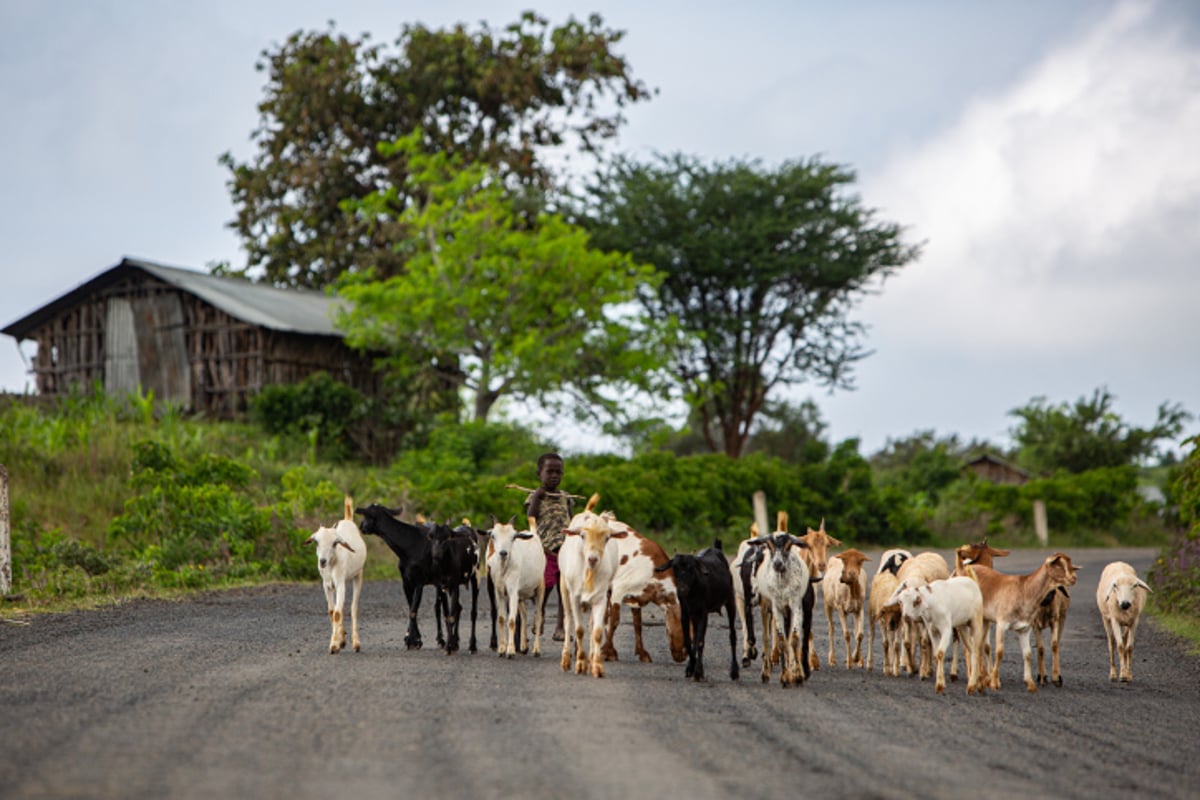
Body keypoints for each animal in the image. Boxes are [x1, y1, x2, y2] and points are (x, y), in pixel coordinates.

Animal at [304, 494, 364, 657]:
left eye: (335, 543)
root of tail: (348, 519)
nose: (322, 561)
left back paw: (356, 643)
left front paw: (334, 645)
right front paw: (339, 642)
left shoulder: (340, 583)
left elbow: (337, 613)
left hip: (358, 575)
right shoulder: (327, 585)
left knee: (354, 607)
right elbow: (332, 612)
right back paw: (343, 640)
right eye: (316, 542)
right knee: (342, 607)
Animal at [484, 515, 547, 662]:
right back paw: (524, 646)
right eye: (493, 535)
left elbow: (512, 620)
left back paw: (536, 649)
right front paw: (501, 649)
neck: (504, 569)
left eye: (513, 537)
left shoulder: (512, 591)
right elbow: (502, 618)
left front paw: (510, 651)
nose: (503, 553)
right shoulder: (499, 592)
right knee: (524, 614)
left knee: (538, 616)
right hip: (521, 595)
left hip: (540, 589)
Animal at [657, 537, 739, 681]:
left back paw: (734, 671)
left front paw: (699, 671)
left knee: (732, 635)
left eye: (691, 568)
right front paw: (690, 667)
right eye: (675, 567)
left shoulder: (703, 613)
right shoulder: (686, 612)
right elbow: (689, 640)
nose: (682, 589)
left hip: (730, 601)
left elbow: (700, 641)